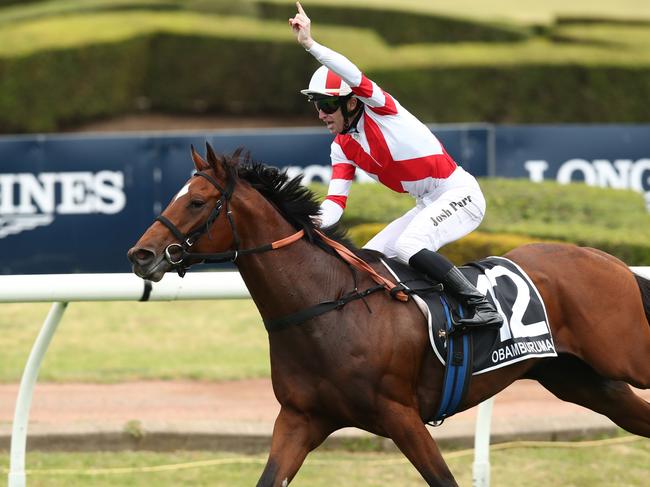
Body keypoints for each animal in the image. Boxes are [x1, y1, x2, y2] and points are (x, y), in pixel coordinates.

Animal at [126, 146, 648, 487]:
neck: (328, 307)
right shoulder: (300, 419)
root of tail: (609, 259)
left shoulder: (402, 416)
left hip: (626, 358)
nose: (140, 254)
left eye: (196, 201)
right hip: (583, 381)